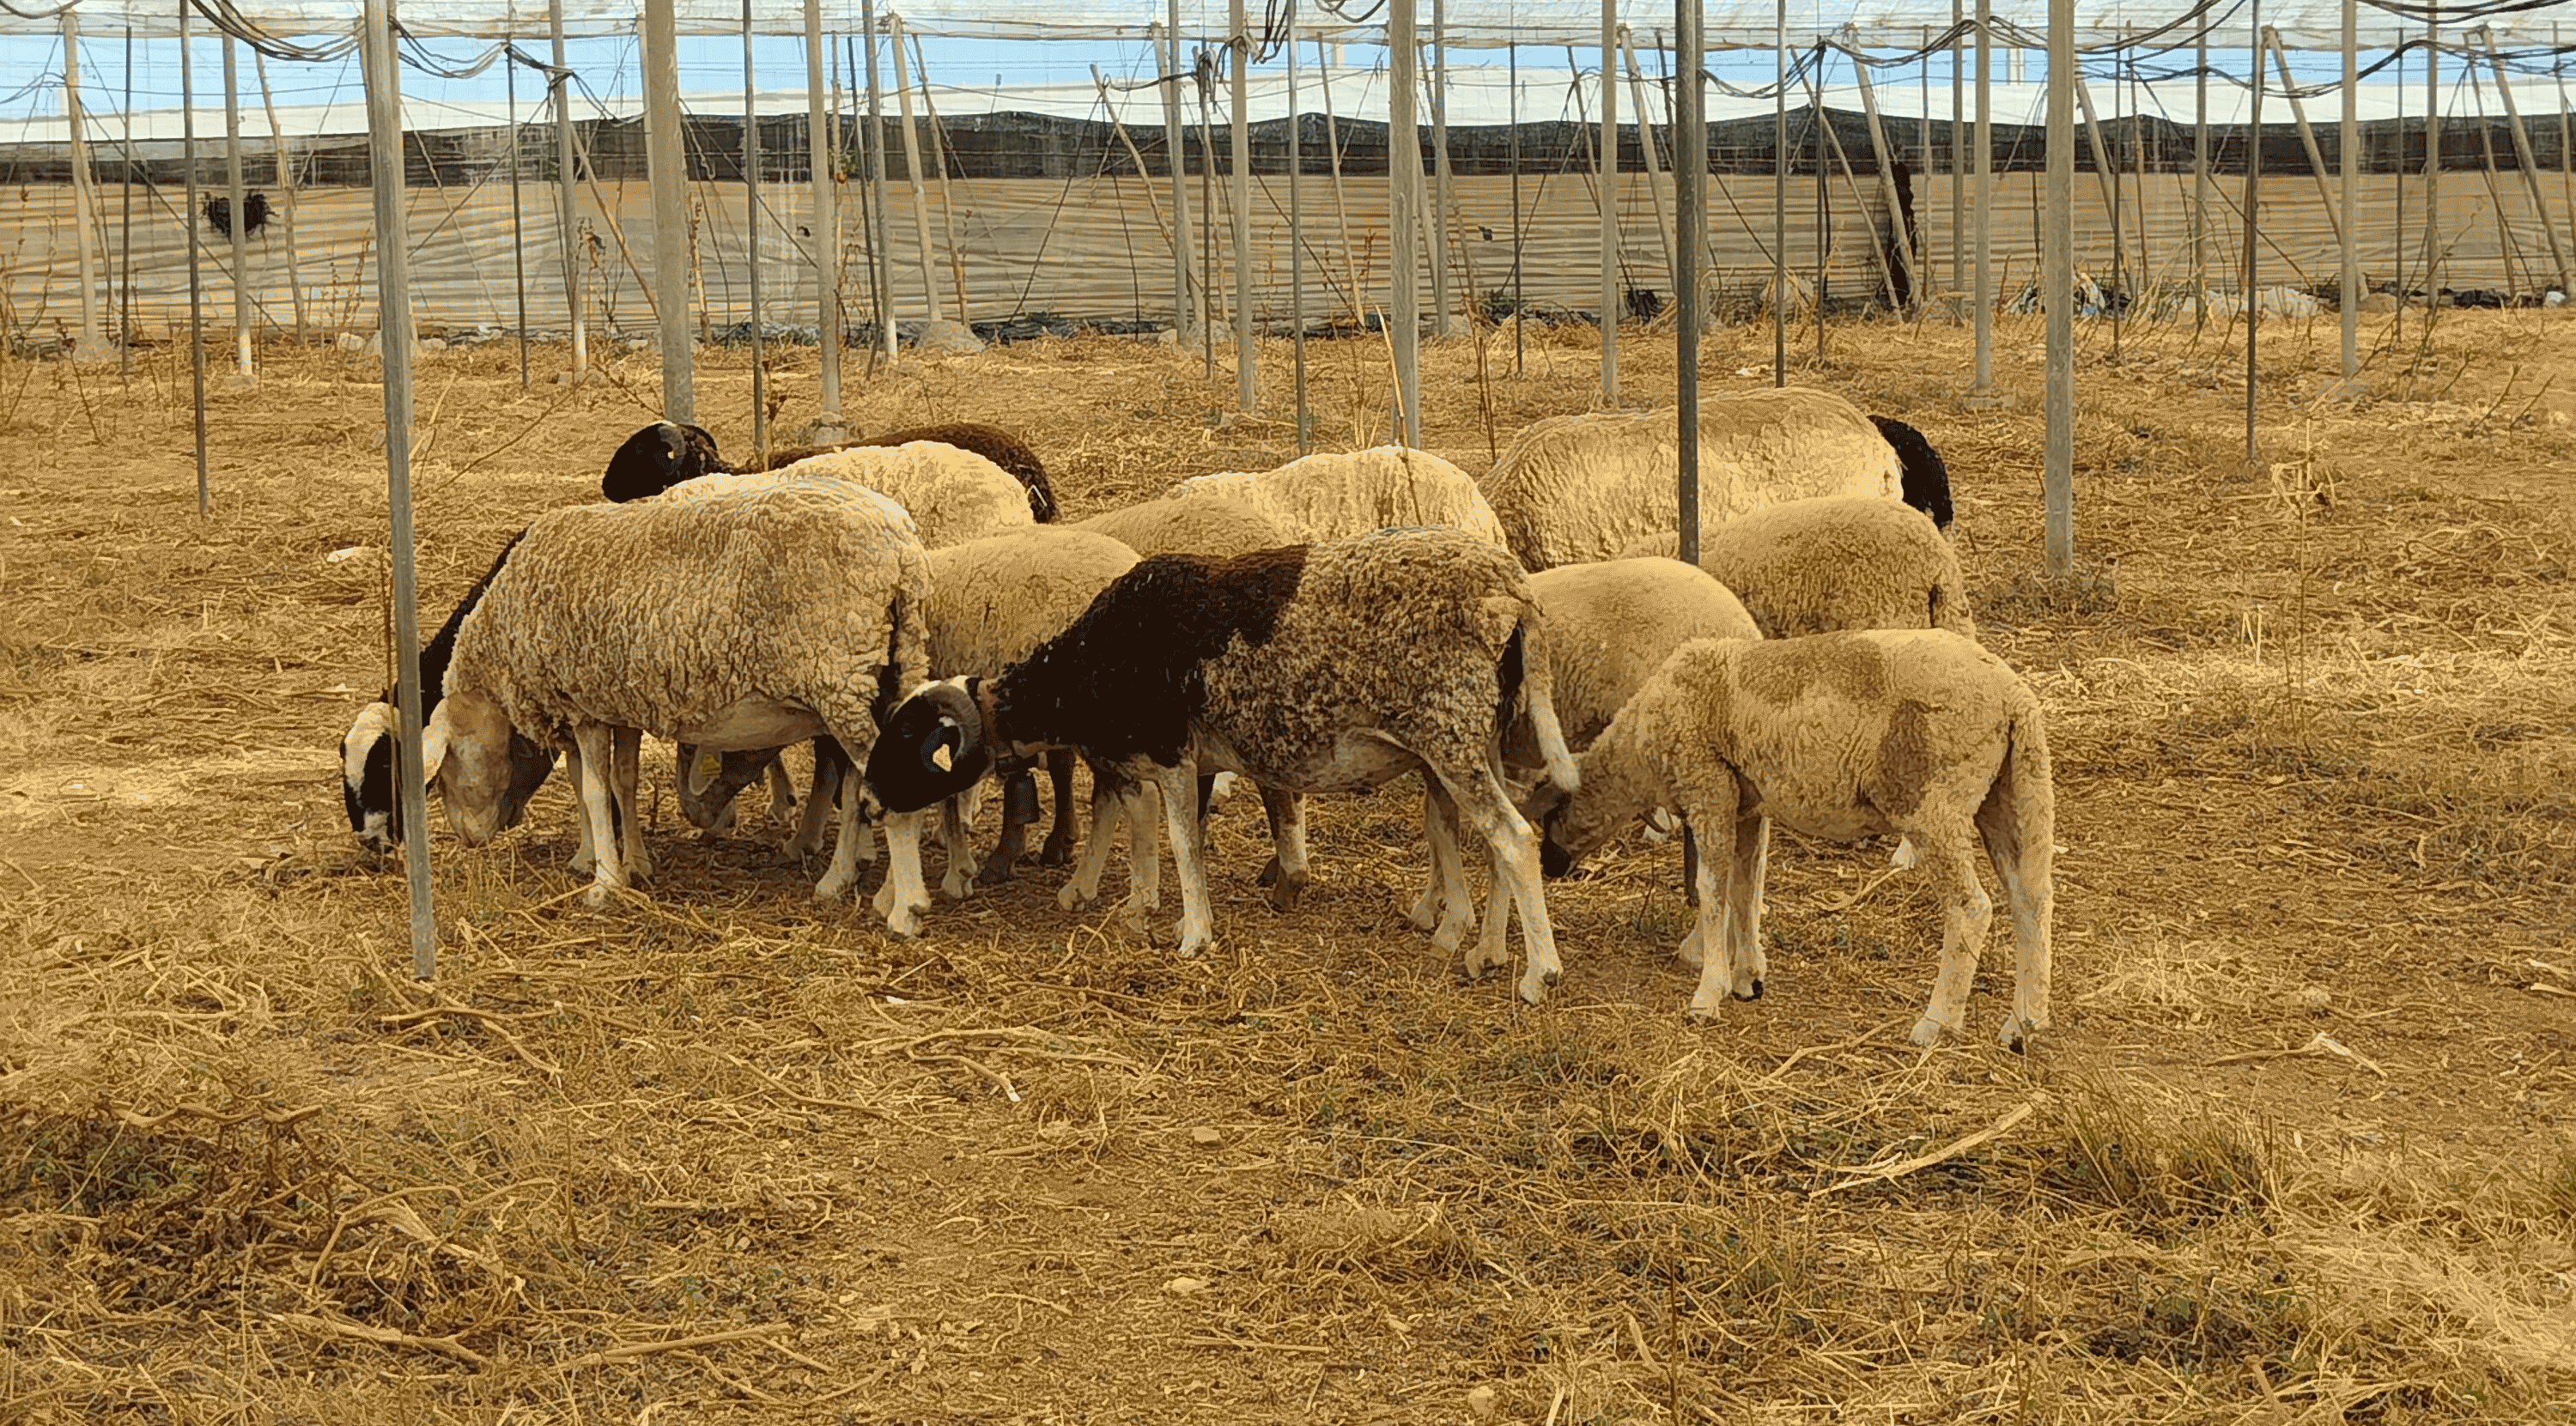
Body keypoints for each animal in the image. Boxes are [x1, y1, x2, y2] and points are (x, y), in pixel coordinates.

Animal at [418, 476, 937, 930]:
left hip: (839, 680)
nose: (467, 838)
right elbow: (622, 782)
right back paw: (855, 885)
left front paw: (604, 884)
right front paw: (634, 863)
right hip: (880, 676)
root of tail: (902, 548)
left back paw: (905, 909)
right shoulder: (618, 701)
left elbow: (593, 791)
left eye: (443, 774)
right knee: (868, 787)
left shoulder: (584, 702)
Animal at [863, 526, 1584, 1004]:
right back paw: (1479, 947)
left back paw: (1538, 973)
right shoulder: (1166, 759)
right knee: (1484, 838)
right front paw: (1143, 911)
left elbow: (1183, 842)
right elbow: (1149, 831)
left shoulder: (1174, 753)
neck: (1093, 664)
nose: (868, 802)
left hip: (1451, 734)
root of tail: (1513, 591)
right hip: (1474, 739)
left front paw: (1193, 935)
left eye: (905, 744)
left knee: (1514, 839)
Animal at [1531, 629, 2054, 1049]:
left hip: (1932, 798)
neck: (1641, 744)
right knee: (2030, 899)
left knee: (1972, 907)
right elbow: (1746, 889)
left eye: (1550, 814)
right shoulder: (1748, 804)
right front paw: (1747, 978)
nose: (1548, 865)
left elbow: (1713, 892)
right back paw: (2023, 1024)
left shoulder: (1708, 787)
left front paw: (1707, 995)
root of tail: (2014, 697)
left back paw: (1937, 1023)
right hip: (2007, 792)